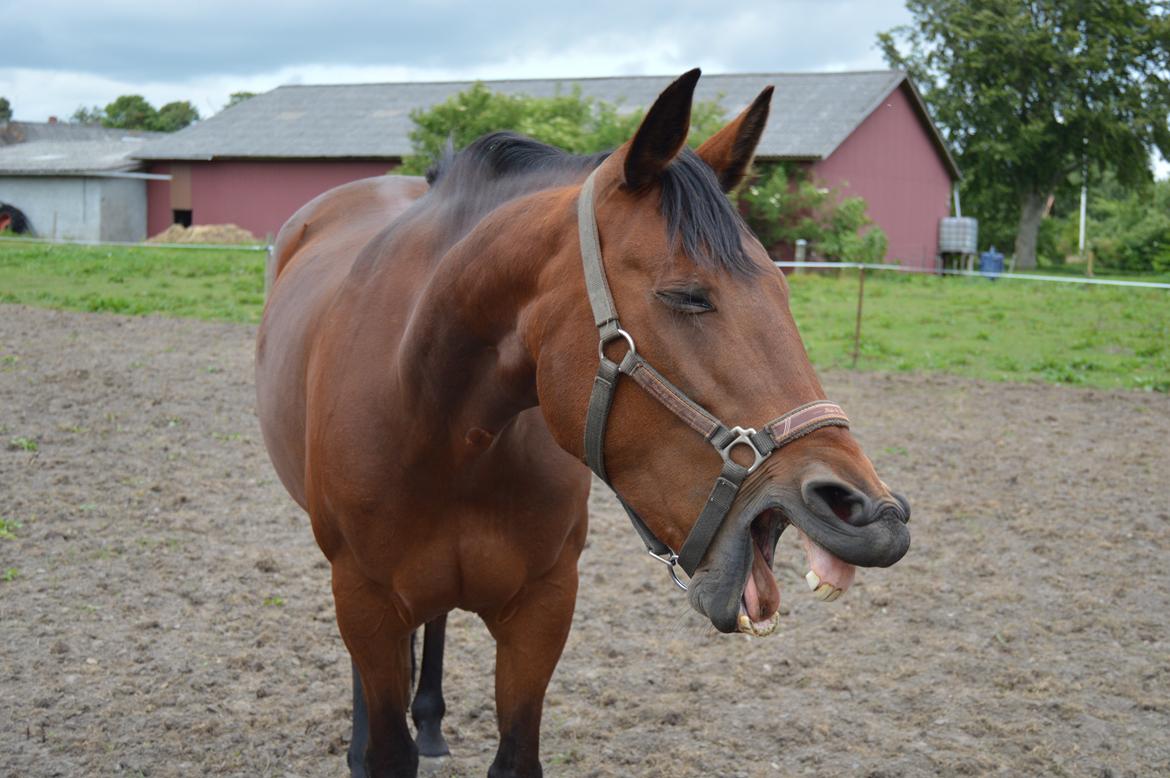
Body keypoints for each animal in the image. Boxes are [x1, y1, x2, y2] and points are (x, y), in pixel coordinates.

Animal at [256, 69, 912, 772]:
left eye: (783, 290)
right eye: (687, 296)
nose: (869, 511)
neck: (443, 422)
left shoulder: (543, 609)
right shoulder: (366, 604)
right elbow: (384, 741)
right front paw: (367, 745)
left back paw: (430, 722)